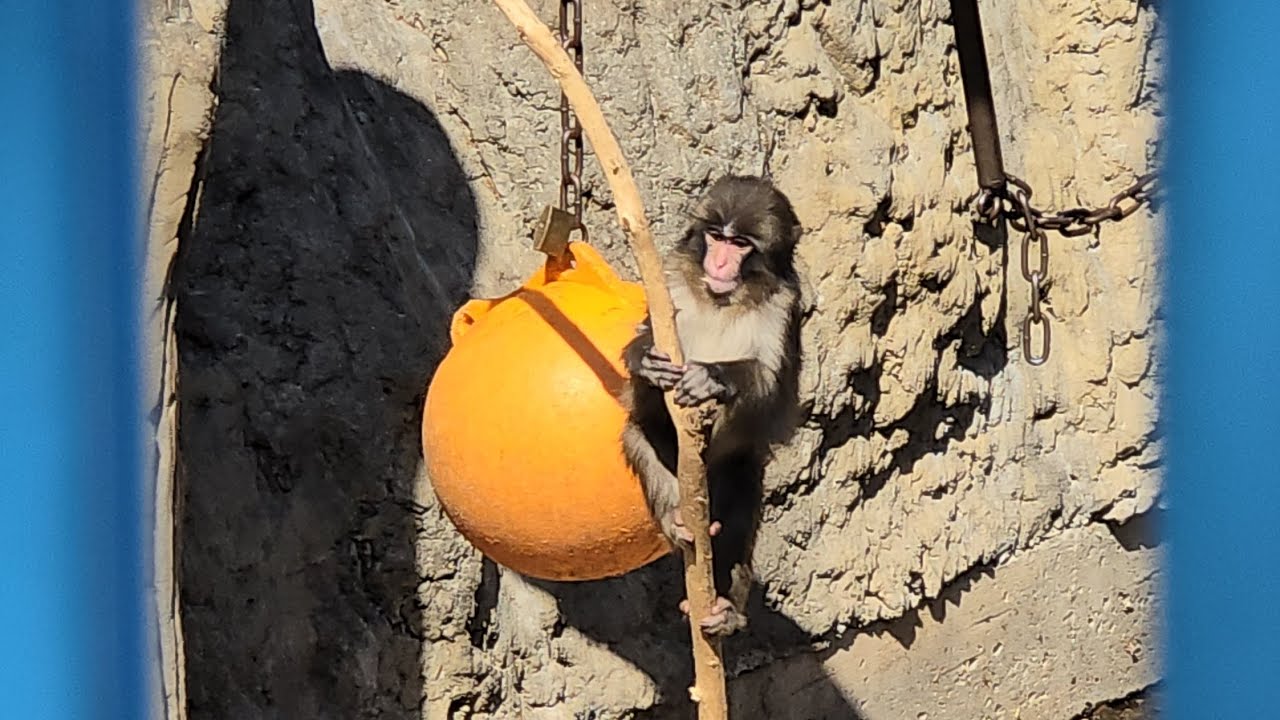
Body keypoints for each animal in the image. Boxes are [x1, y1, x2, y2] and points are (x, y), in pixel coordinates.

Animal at [618, 175, 803, 637]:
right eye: (716, 236)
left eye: (739, 244)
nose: (719, 264)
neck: (722, 298)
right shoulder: (670, 283)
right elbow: (642, 372)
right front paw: (645, 360)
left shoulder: (783, 307)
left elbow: (772, 389)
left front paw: (713, 377)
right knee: (641, 437)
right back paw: (676, 521)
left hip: (737, 468)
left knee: (738, 503)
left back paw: (726, 610)